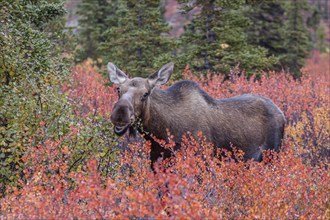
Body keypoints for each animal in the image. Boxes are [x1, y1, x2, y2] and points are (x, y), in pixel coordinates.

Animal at [109, 62, 286, 170]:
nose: (120, 114)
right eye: (118, 90)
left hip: (272, 155)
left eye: (145, 94)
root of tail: (282, 114)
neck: (160, 132)